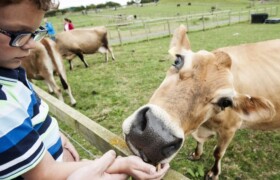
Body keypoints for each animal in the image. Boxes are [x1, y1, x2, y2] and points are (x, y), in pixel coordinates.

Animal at [123, 24, 280, 179]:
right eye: (177, 61)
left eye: (225, 102)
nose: (153, 137)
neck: (205, 126)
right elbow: (198, 141)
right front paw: (196, 154)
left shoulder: (230, 129)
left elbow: (218, 152)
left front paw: (213, 173)